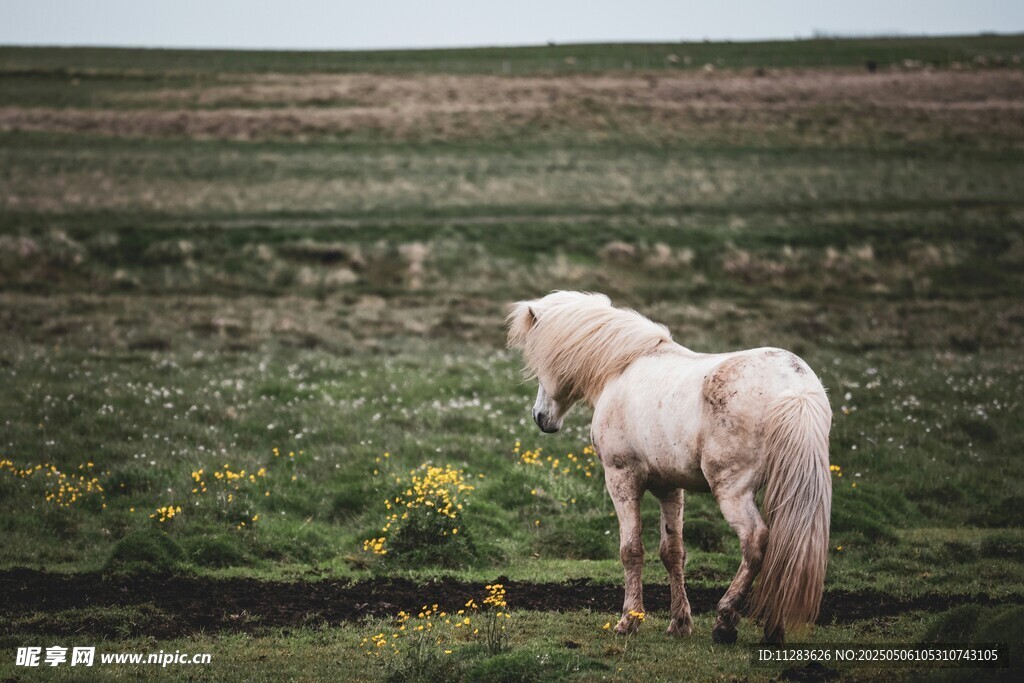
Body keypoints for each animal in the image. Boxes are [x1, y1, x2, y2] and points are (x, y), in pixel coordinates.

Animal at [507, 291, 832, 644]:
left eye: (542, 364)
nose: (540, 417)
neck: (621, 368)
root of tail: (796, 389)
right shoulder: (669, 487)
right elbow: (672, 551)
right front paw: (679, 622)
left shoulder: (621, 478)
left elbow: (631, 550)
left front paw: (629, 620)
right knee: (787, 550)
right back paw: (772, 631)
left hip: (733, 491)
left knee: (756, 541)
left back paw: (725, 621)